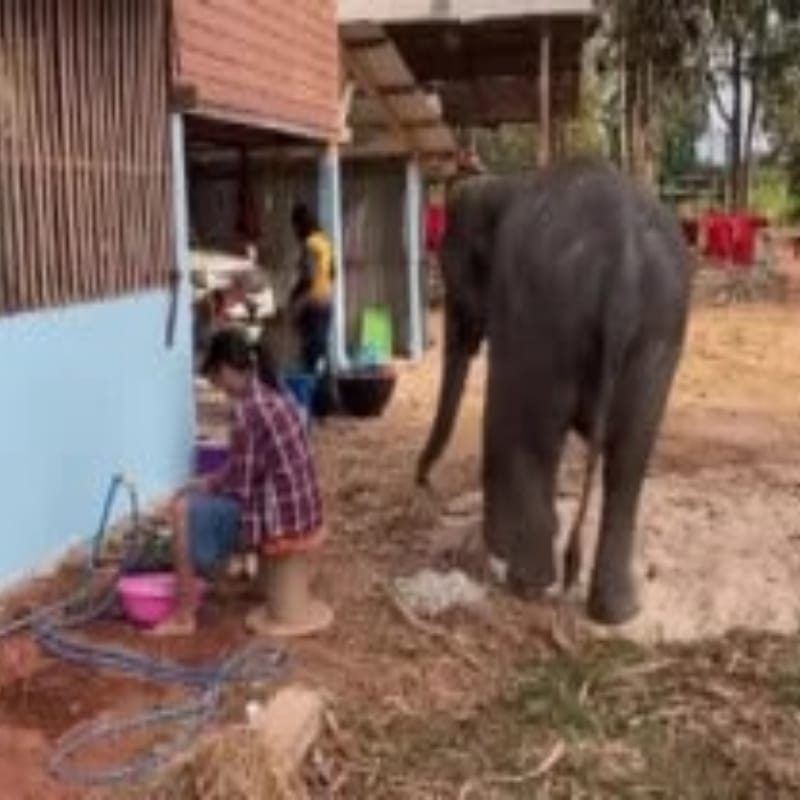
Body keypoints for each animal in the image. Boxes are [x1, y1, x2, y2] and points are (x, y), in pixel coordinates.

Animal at [417, 158, 692, 625]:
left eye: (452, 277)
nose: (424, 483)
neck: (508, 182)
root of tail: (624, 263)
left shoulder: (514, 306)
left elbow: (502, 407)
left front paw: (496, 547)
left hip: (552, 311)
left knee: (538, 437)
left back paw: (528, 582)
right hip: (660, 328)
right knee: (629, 460)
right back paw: (616, 611)